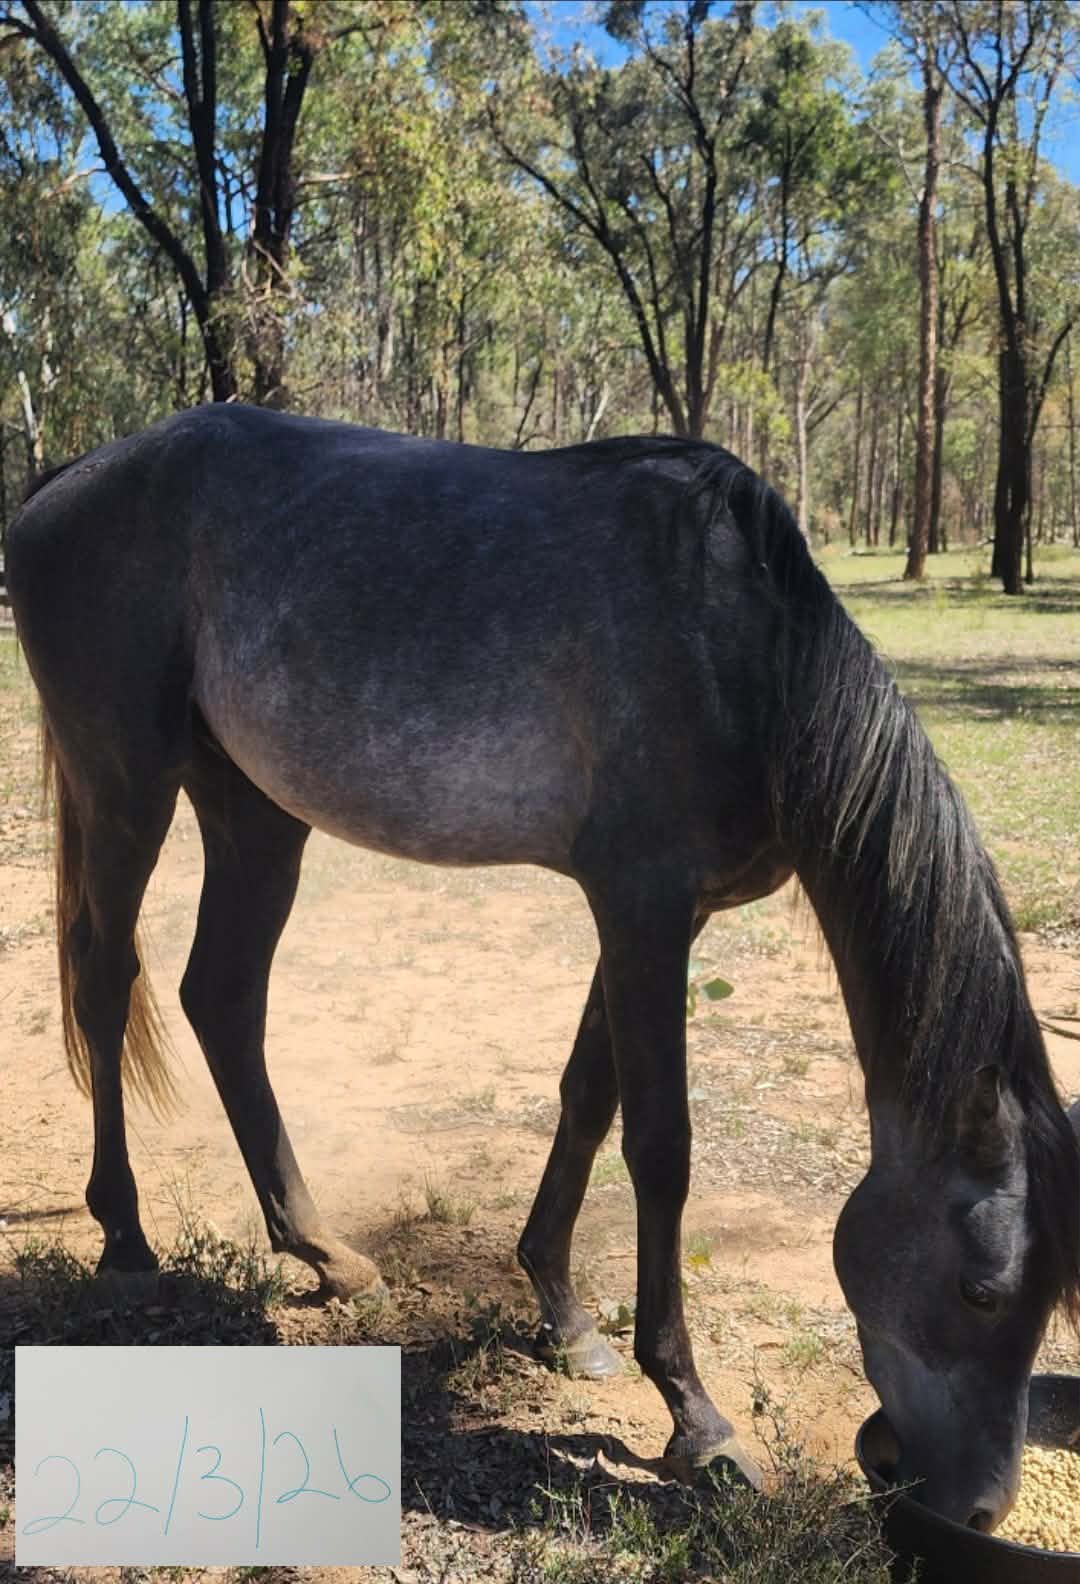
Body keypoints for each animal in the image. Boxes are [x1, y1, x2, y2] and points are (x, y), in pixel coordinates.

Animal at [6, 404, 1079, 1529]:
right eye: (982, 1289)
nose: (978, 1509)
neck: (749, 657)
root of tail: (67, 479)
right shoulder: (643, 909)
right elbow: (661, 1147)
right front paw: (695, 1419)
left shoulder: (661, 919)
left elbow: (587, 1099)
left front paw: (563, 1319)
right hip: (126, 791)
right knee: (104, 985)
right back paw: (126, 1242)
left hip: (254, 810)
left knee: (222, 997)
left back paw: (321, 1250)